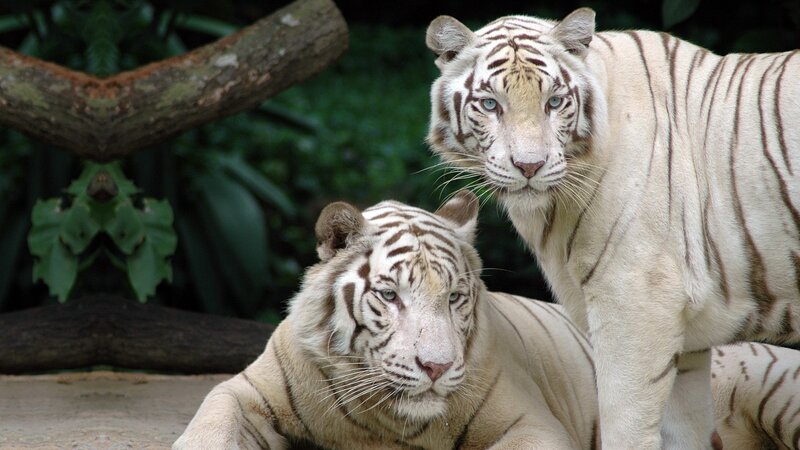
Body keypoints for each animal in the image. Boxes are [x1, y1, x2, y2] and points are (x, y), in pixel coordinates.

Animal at [173, 191, 800, 450]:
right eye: (389, 296)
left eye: (454, 297)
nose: (436, 367)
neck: (379, 423)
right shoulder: (245, 390)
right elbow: (210, 423)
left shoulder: (531, 424)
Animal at [426, 7, 800, 449]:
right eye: (489, 104)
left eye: (554, 102)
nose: (530, 166)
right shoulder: (688, 345)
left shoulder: (635, 307)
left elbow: (625, 426)